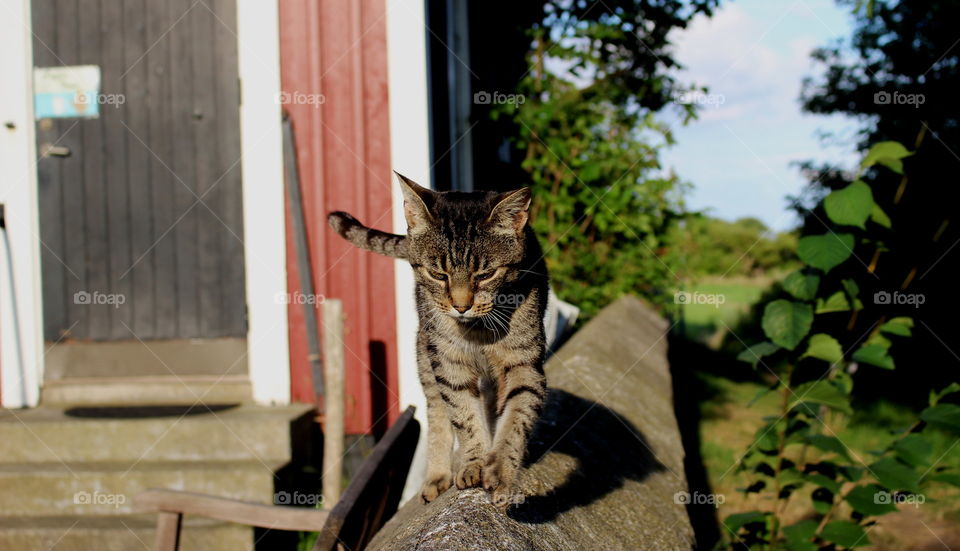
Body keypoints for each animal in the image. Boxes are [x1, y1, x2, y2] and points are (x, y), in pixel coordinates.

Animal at [328, 174, 548, 508]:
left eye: (485, 274)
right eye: (438, 274)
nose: (461, 306)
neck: (477, 330)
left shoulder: (524, 363)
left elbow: (516, 418)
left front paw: (501, 471)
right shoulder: (448, 363)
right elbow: (464, 417)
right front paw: (474, 463)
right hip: (426, 357)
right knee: (438, 414)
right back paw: (437, 476)